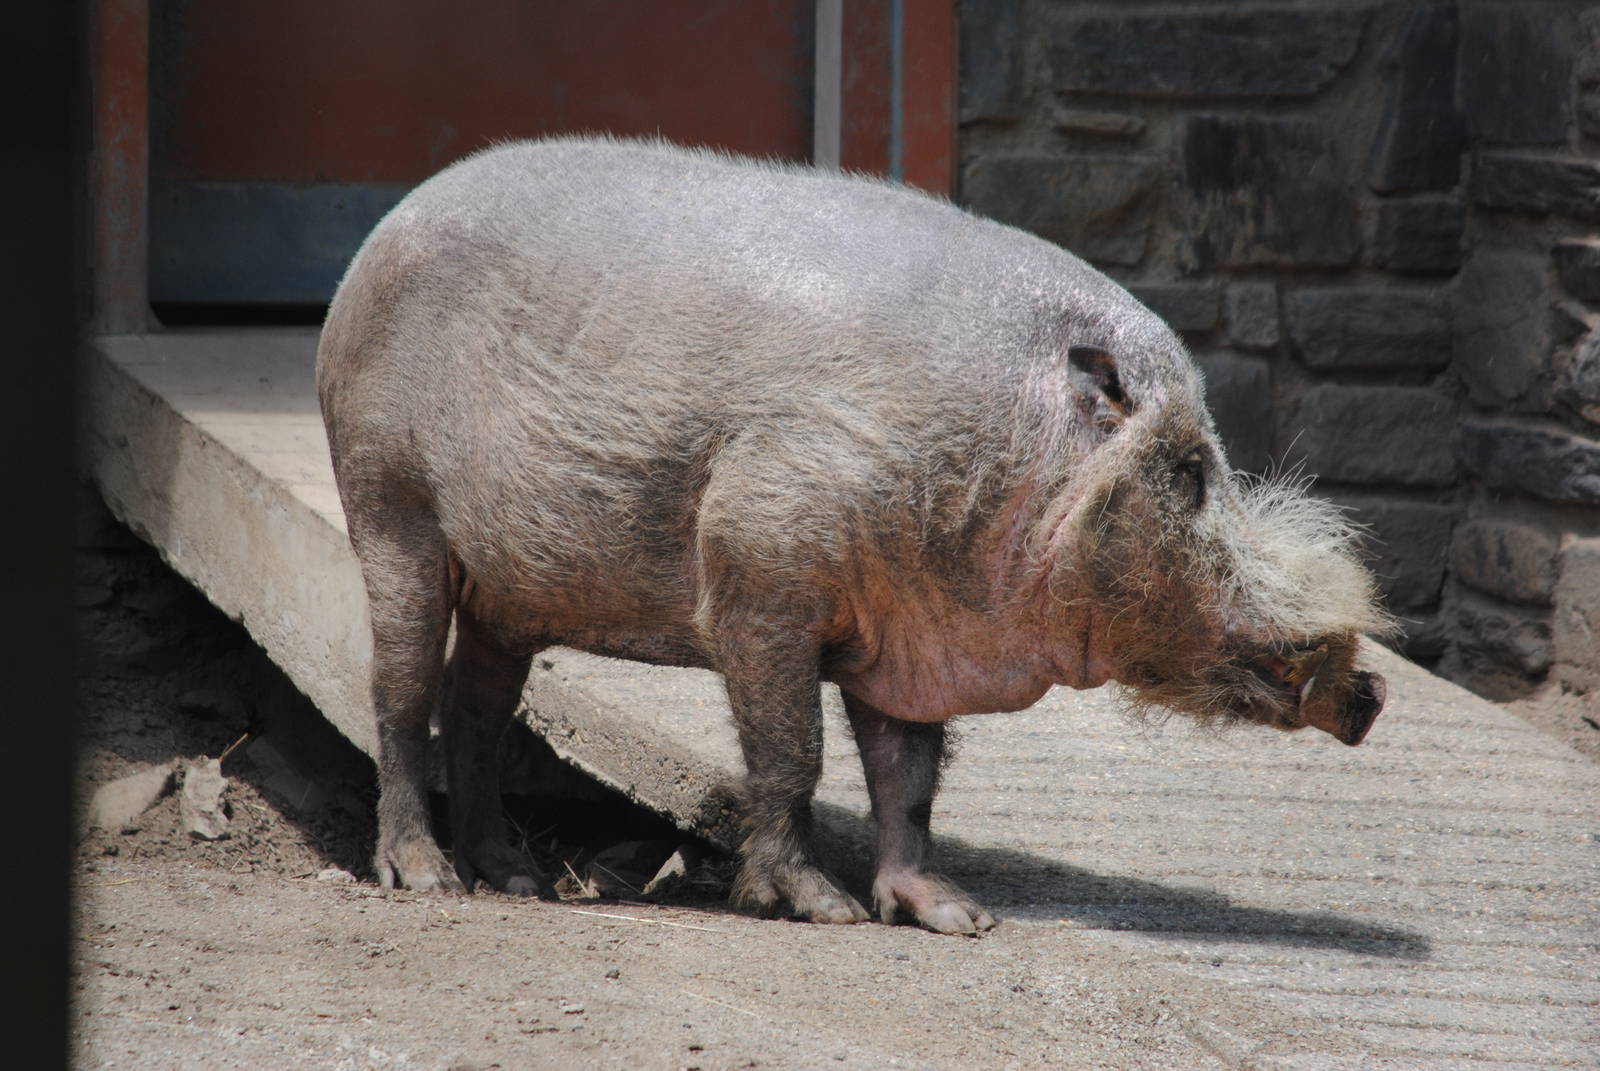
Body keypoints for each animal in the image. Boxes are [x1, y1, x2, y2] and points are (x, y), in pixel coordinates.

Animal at [317, 136, 1392, 934]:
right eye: (1190, 471)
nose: (1372, 691)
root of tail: (377, 237)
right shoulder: (757, 563)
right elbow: (793, 754)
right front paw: (823, 911)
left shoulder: (911, 639)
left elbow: (907, 783)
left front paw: (959, 919)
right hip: (387, 500)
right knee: (401, 693)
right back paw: (427, 878)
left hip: (507, 591)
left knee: (481, 707)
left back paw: (517, 880)